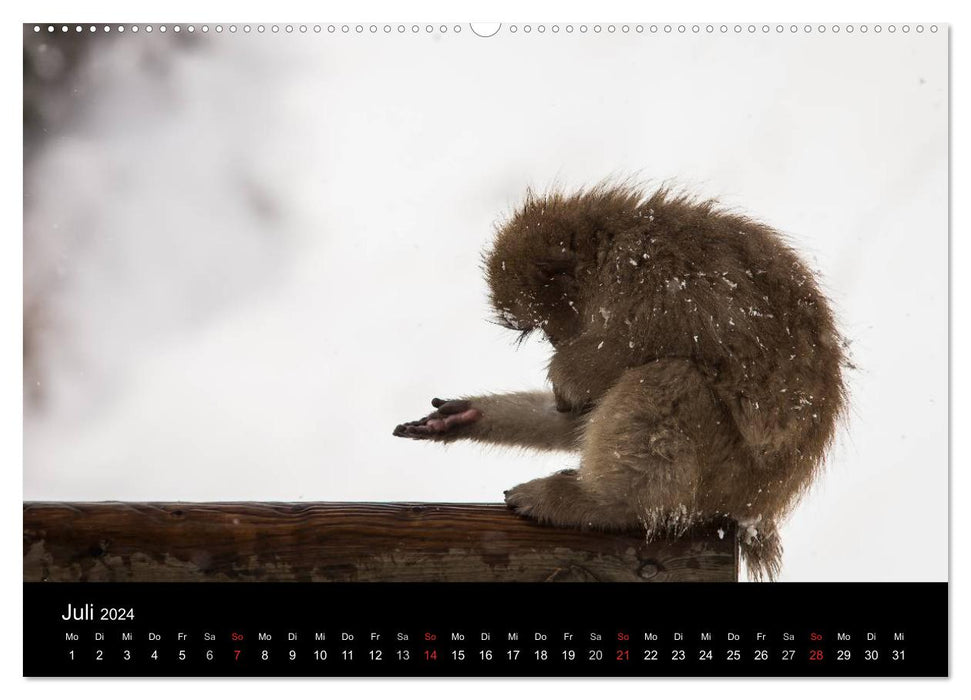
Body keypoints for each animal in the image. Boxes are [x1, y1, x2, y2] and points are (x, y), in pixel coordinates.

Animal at [392, 185, 848, 580]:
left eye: (544, 325)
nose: (556, 341)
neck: (608, 250)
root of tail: (762, 504)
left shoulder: (648, 286)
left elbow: (605, 367)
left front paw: (564, 377)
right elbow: (578, 416)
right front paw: (468, 417)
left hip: (727, 474)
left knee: (669, 378)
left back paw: (605, 504)